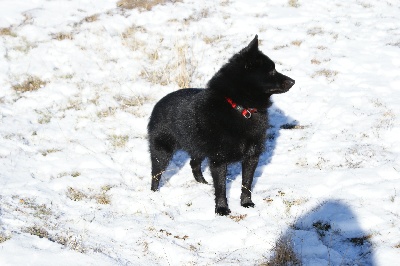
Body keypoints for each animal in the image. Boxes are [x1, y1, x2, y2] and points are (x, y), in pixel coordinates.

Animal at [147, 34, 294, 215]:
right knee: (155, 174)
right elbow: (221, 187)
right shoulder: (218, 160)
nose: (293, 81)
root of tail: (157, 104)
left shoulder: (252, 157)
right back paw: (154, 195)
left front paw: (246, 203)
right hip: (162, 152)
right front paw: (222, 209)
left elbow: (247, 184)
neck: (240, 108)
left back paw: (202, 183)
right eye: (271, 70)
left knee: (194, 163)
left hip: (198, 147)